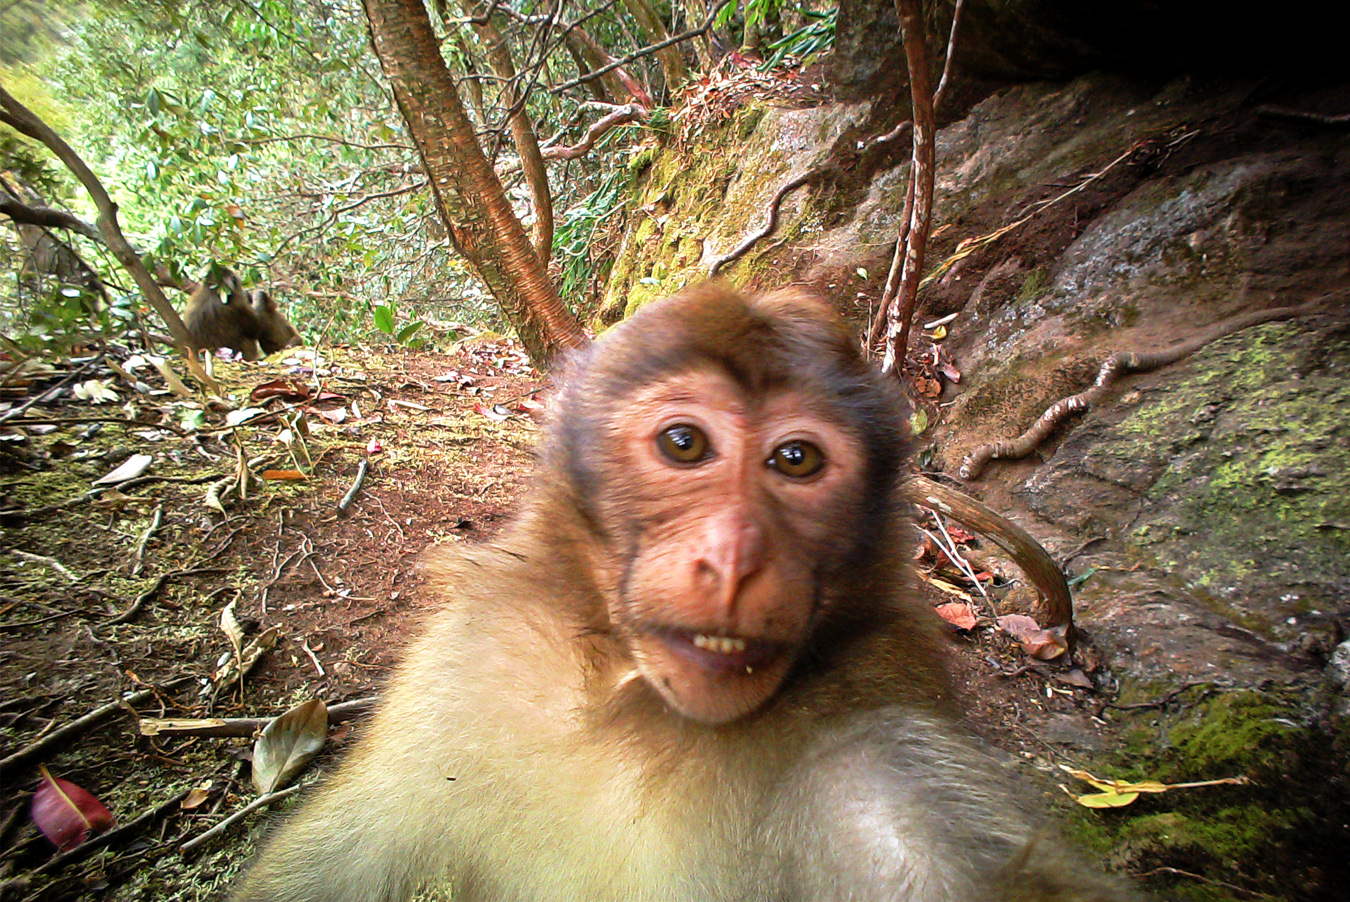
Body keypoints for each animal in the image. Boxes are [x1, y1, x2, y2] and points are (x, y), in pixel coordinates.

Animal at [234, 285, 1133, 902]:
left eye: (797, 460)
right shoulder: (474, 656)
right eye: (683, 444)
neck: (629, 702)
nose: (732, 558)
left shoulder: (880, 750)